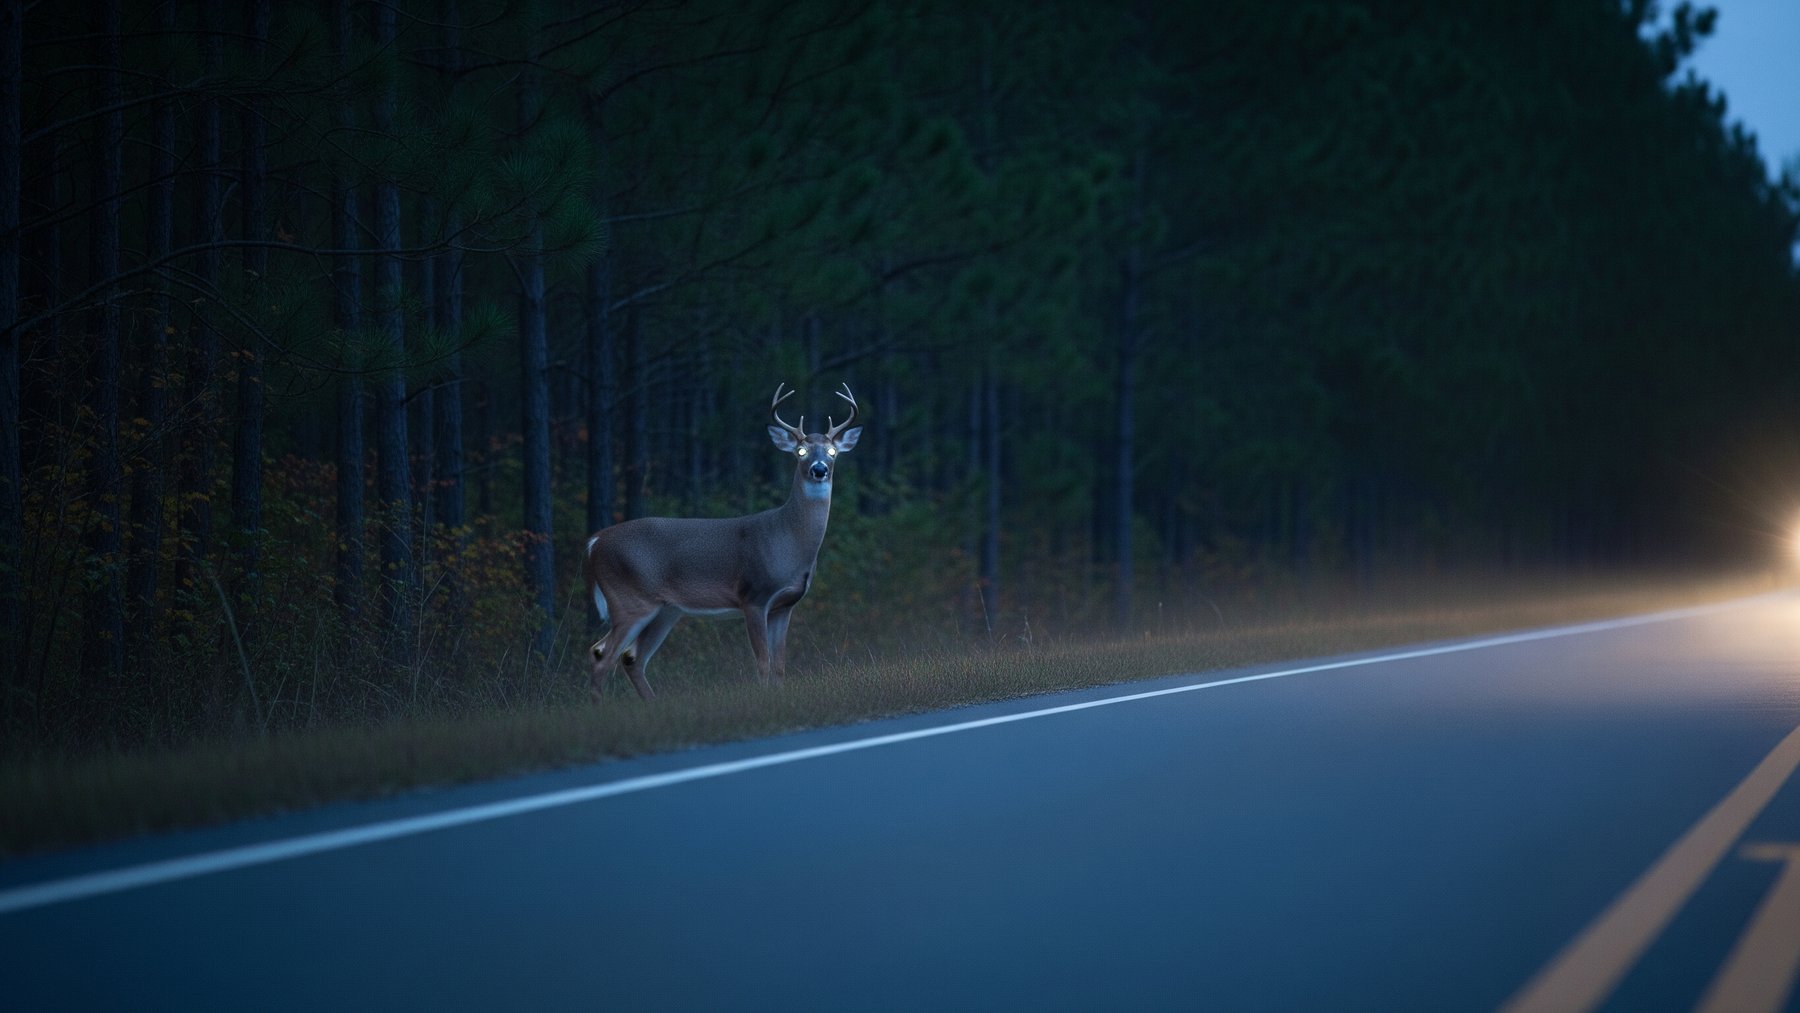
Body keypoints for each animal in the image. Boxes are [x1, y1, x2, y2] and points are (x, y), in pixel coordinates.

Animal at [583, 382, 863, 699]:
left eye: (832, 451)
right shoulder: (753, 596)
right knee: (601, 654)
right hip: (630, 600)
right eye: (801, 450)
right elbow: (763, 662)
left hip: (666, 609)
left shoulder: (785, 605)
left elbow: (779, 664)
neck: (788, 541)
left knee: (631, 658)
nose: (819, 469)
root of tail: (595, 541)